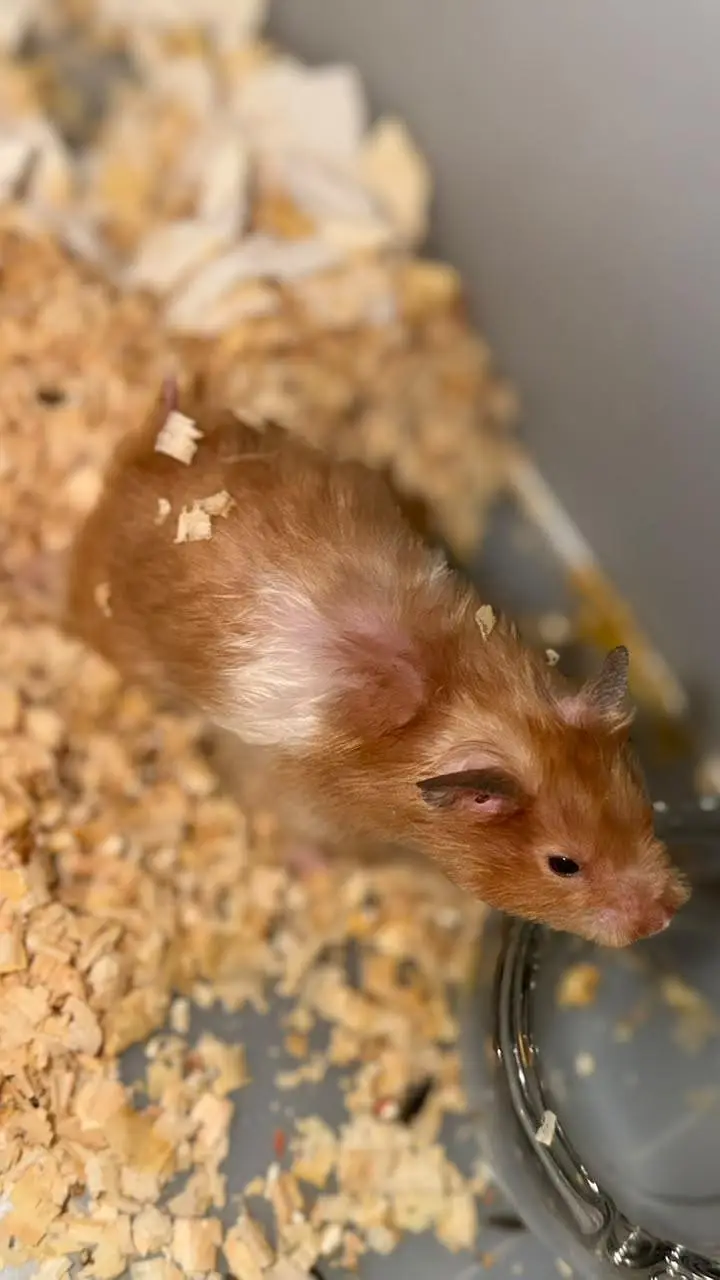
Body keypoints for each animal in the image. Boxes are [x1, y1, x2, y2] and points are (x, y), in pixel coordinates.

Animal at [65, 386, 689, 947]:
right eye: (563, 864)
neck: (452, 701)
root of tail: (150, 447)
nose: (663, 919)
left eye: (641, 806)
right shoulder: (282, 791)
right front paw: (316, 871)